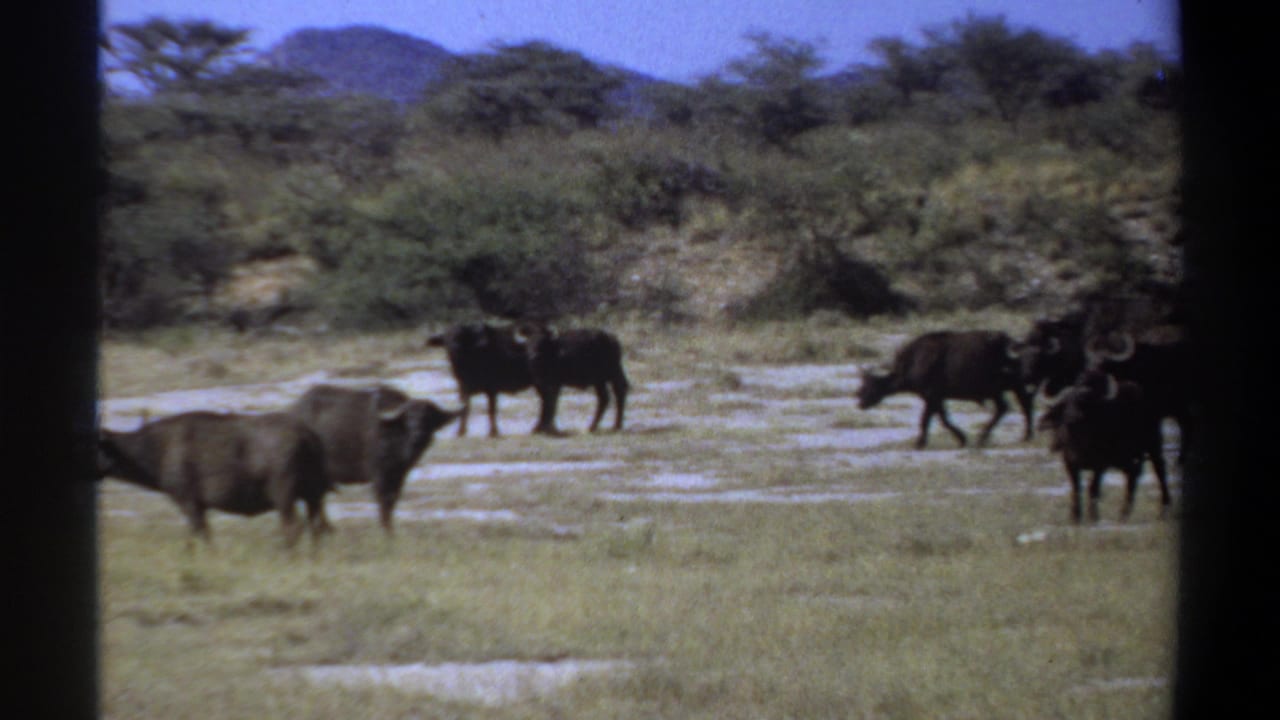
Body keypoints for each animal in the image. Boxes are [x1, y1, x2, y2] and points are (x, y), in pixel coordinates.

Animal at [97, 411, 330, 547]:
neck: (160, 447)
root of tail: (306, 434)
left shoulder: (189, 502)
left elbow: (202, 535)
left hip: (284, 495)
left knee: (293, 527)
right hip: (313, 496)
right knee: (316, 528)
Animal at [289, 384, 460, 533]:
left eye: (430, 417)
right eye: (408, 416)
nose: (418, 434)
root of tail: (295, 410)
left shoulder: (398, 476)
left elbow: (392, 501)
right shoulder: (379, 475)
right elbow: (384, 503)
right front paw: (386, 531)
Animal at [858, 330, 1034, 449]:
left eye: (867, 386)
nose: (861, 403)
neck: (914, 362)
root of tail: (1010, 344)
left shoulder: (931, 396)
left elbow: (928, 419)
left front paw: (920, 443)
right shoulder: (936, 398)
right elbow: (943, 418)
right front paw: (961, 438)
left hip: (998, 389)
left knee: (1009, 407)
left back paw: (985, 437)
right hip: (1008, 387)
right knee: (1020, 404)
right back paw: (1025, 435)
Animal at [1037, 369, 1171, 523]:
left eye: (1084, 402)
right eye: (1065, 404)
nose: (1073, 418)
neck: (1079, 443)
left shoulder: (1100, 466)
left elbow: (1093, 489)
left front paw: (1093, 516)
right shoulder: (1070, 464)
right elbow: (1076, 489)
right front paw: (1075, 517)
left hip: (1153, 445)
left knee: (1160, 471)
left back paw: (1163, 510)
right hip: (1124, 459)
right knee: (1133, 475)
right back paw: (1124, 513)